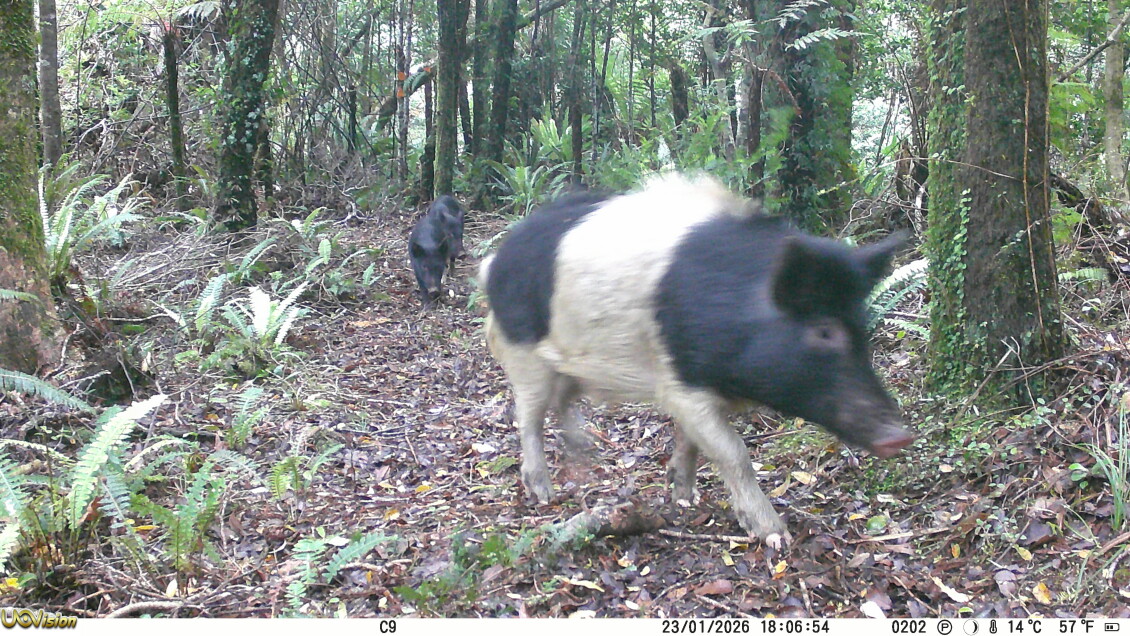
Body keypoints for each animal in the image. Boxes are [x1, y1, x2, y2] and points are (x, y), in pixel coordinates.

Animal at [478, 174, 913, 546]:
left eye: (860, 325)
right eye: (824, 331)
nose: (900, 434)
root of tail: (494, 261)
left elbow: (693, 440)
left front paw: (684, 496)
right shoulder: (681, 384)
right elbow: (733, 453)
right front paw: (775, 536)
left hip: (569, 361)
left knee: (563, 401)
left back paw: (586, 450)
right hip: (523, 350)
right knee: (528, 417)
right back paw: (544, 493)